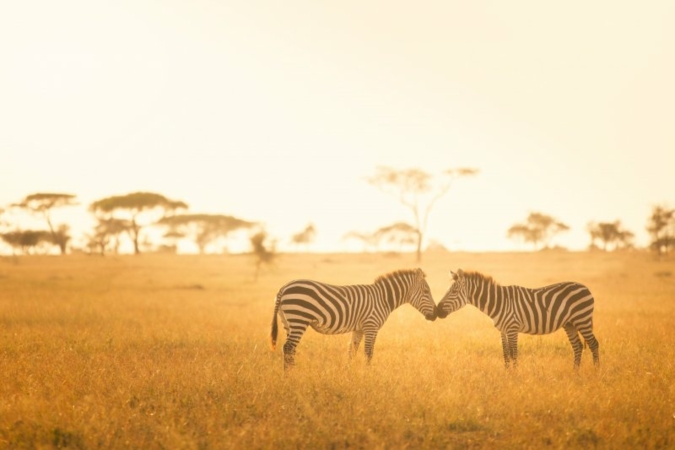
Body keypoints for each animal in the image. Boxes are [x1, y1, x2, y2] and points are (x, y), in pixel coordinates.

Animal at [270, 268, 438, 370]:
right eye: (426, 291)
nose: (435, 314)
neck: (383, 298)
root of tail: (283, 288)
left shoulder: (359, 329)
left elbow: (352, 351)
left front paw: (348, 374)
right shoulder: (371, 326)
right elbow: (369, 352)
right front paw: (369, 376)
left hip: (288, 322)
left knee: (289, 349)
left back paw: (291, 373)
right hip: (299, 318)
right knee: (288, 347)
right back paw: (289, 376)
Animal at [438, 268, 604, 370]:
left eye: (454, 291)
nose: (437, 310)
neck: (500, 302)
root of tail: (586, 288)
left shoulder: (512, 328)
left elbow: (513, 353)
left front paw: (515, 375)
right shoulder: (502, 330)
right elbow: (505, 353)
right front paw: (507, 374)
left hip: (582, 319)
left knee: (593, 344)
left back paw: (596, 371)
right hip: (570, 323)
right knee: (577, 346)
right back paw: (575, 372)